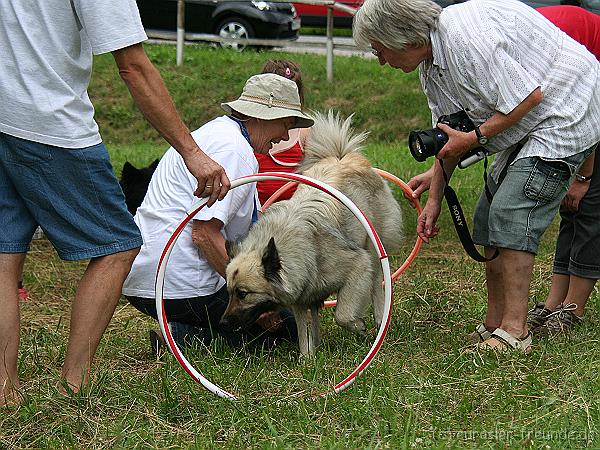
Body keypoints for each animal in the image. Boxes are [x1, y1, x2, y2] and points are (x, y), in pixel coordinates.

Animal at [220, 111, 404, 356]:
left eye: (243, 293)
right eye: (229, 292)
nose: (222, 323)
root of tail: (342, 157)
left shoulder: (357, 264)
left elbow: (342, 314)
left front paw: (358, 325)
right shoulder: (301, 296)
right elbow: (304, 332)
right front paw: (309, 358)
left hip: (373, 249)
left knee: (376, 283)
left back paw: (379, 319)